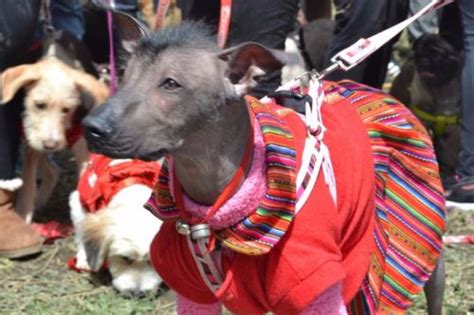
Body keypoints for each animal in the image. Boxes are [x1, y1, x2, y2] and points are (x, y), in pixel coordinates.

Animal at [0, 56, 108, 223]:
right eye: (39, 105)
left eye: (67, 109)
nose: (51, 144)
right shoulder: (32, 143)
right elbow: (28, 182)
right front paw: (24, 213)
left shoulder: (83, 150)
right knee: (52, 171)